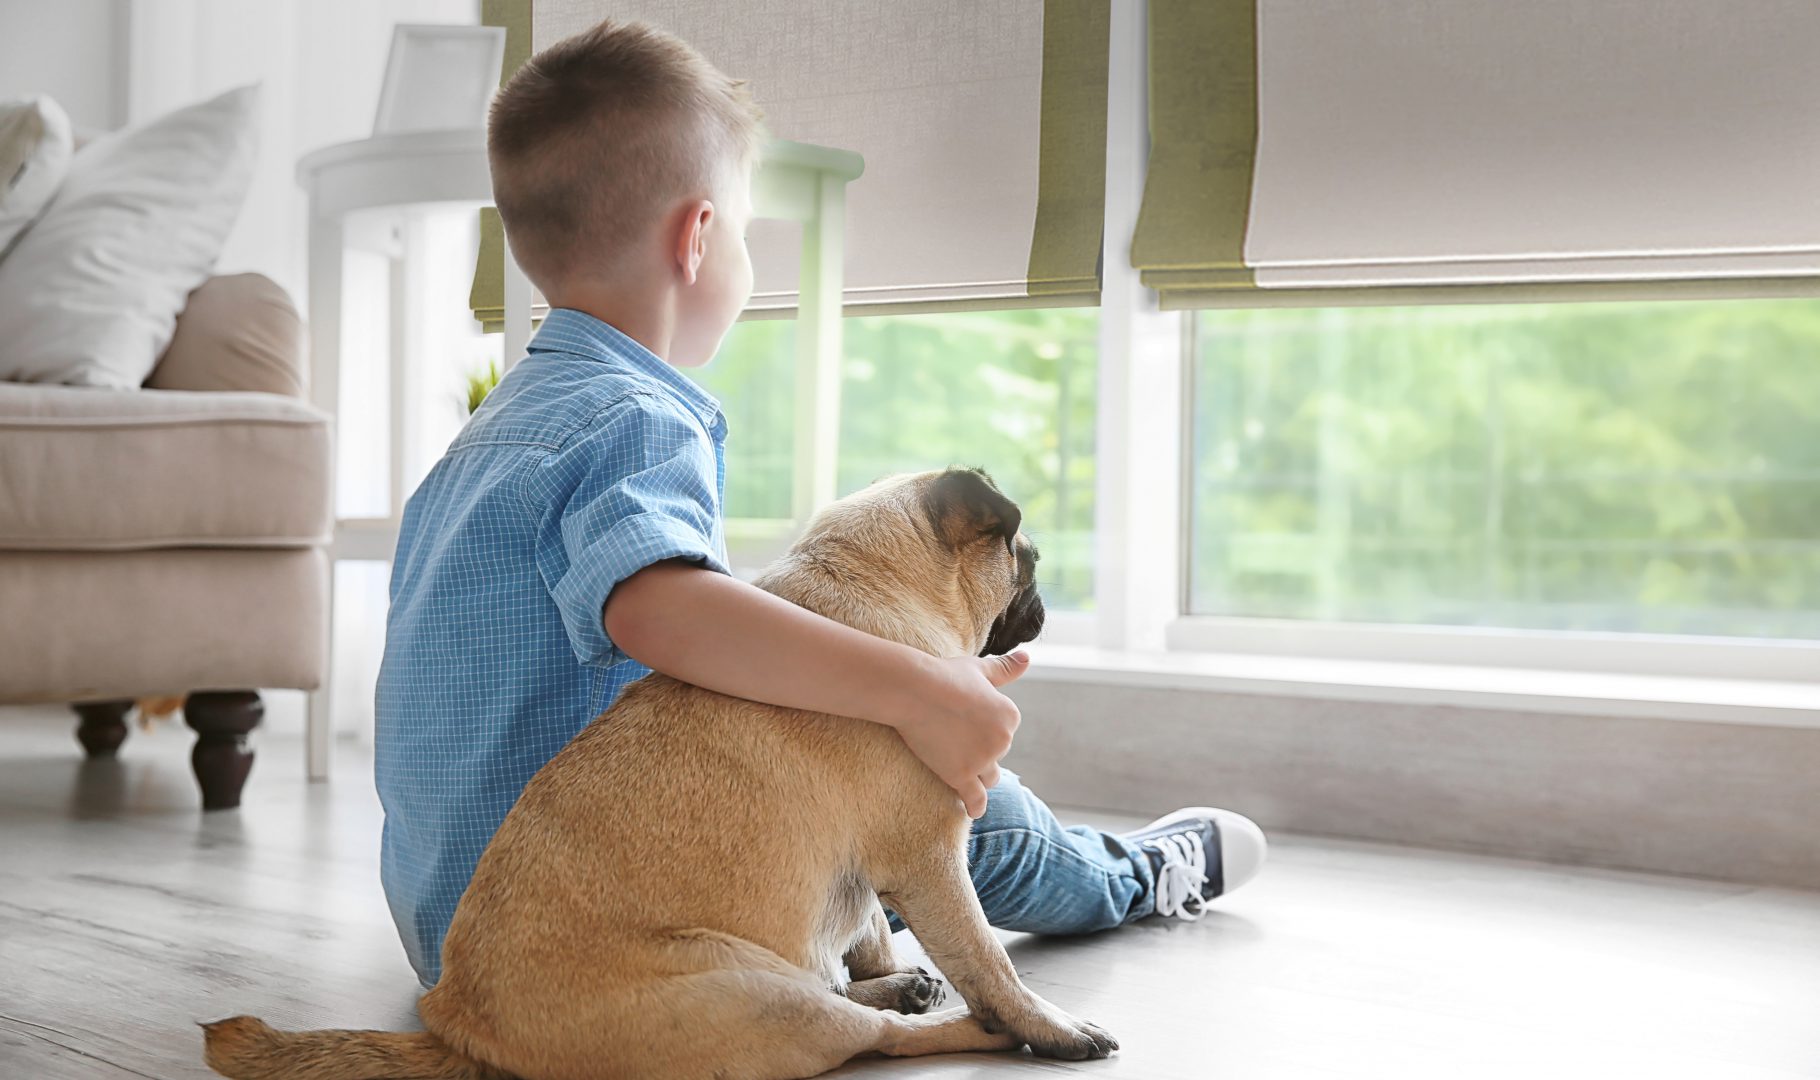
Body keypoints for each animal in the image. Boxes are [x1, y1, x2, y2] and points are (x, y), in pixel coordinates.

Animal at [199, 466, 1106, 1078]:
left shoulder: (878, 871)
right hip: (753, 993)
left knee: (842, 989)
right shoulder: (931, 859)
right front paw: (1047, 1024)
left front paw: (892, 972)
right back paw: (973, 1029)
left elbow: (872, 934)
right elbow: (989, 962)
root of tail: (457, 1025)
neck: (869, 585)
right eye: (1025, 555)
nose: (1042, 596)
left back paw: (901, 994)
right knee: (867, 1036)